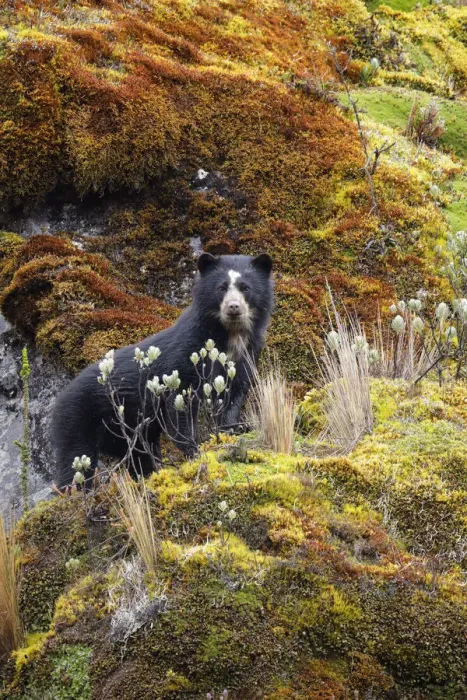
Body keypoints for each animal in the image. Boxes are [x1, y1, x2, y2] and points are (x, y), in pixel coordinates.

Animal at [51, 252, 274, 488]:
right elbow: (180, 403)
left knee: (139, 455)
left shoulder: (245, 357)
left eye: (245, 287)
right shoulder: (186, 353)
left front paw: (234, 428)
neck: (232, 335)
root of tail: (60, 398)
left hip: (128, 433)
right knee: (74, 459)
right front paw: (194, 447)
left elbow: (234, 393)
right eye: (221, 288)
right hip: (78, 417)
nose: (233, 307)